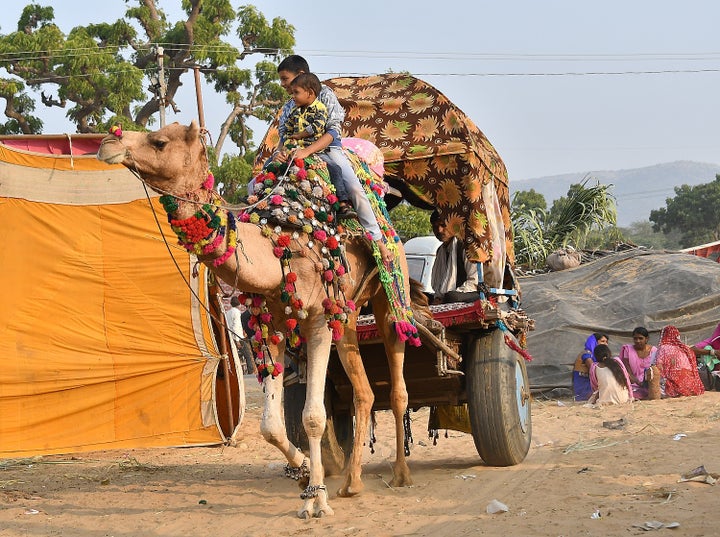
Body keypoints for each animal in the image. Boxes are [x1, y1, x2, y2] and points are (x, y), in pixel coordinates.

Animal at [98, 120, 420, 516]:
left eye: (158, 142)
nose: (107, 142)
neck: (278, 246)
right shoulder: (271, 329)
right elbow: (270, 426)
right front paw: (302, 474)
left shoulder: (317, 320)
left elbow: (313, 417)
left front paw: (316, 501)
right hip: (345, 317)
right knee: (364, 391)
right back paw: (352, 483)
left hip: (389, 294)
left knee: (397, 378)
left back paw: (401, 475)